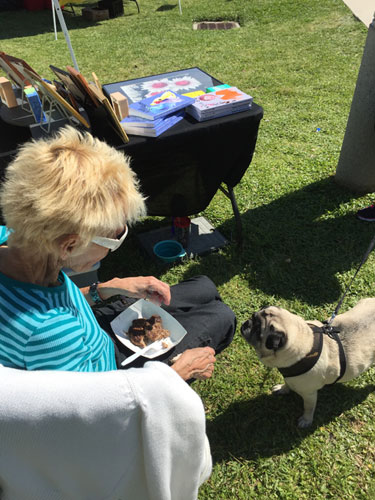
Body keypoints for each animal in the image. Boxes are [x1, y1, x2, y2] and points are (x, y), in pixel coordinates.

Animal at [242, 298, 375, 428]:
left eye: (258, 331)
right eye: (253, 316)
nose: (246, 323)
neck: (307, 341)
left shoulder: (309, 394)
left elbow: (308, 408)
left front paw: (306, 420)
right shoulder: (290, 376)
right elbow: (287, 383)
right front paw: (283, 389)